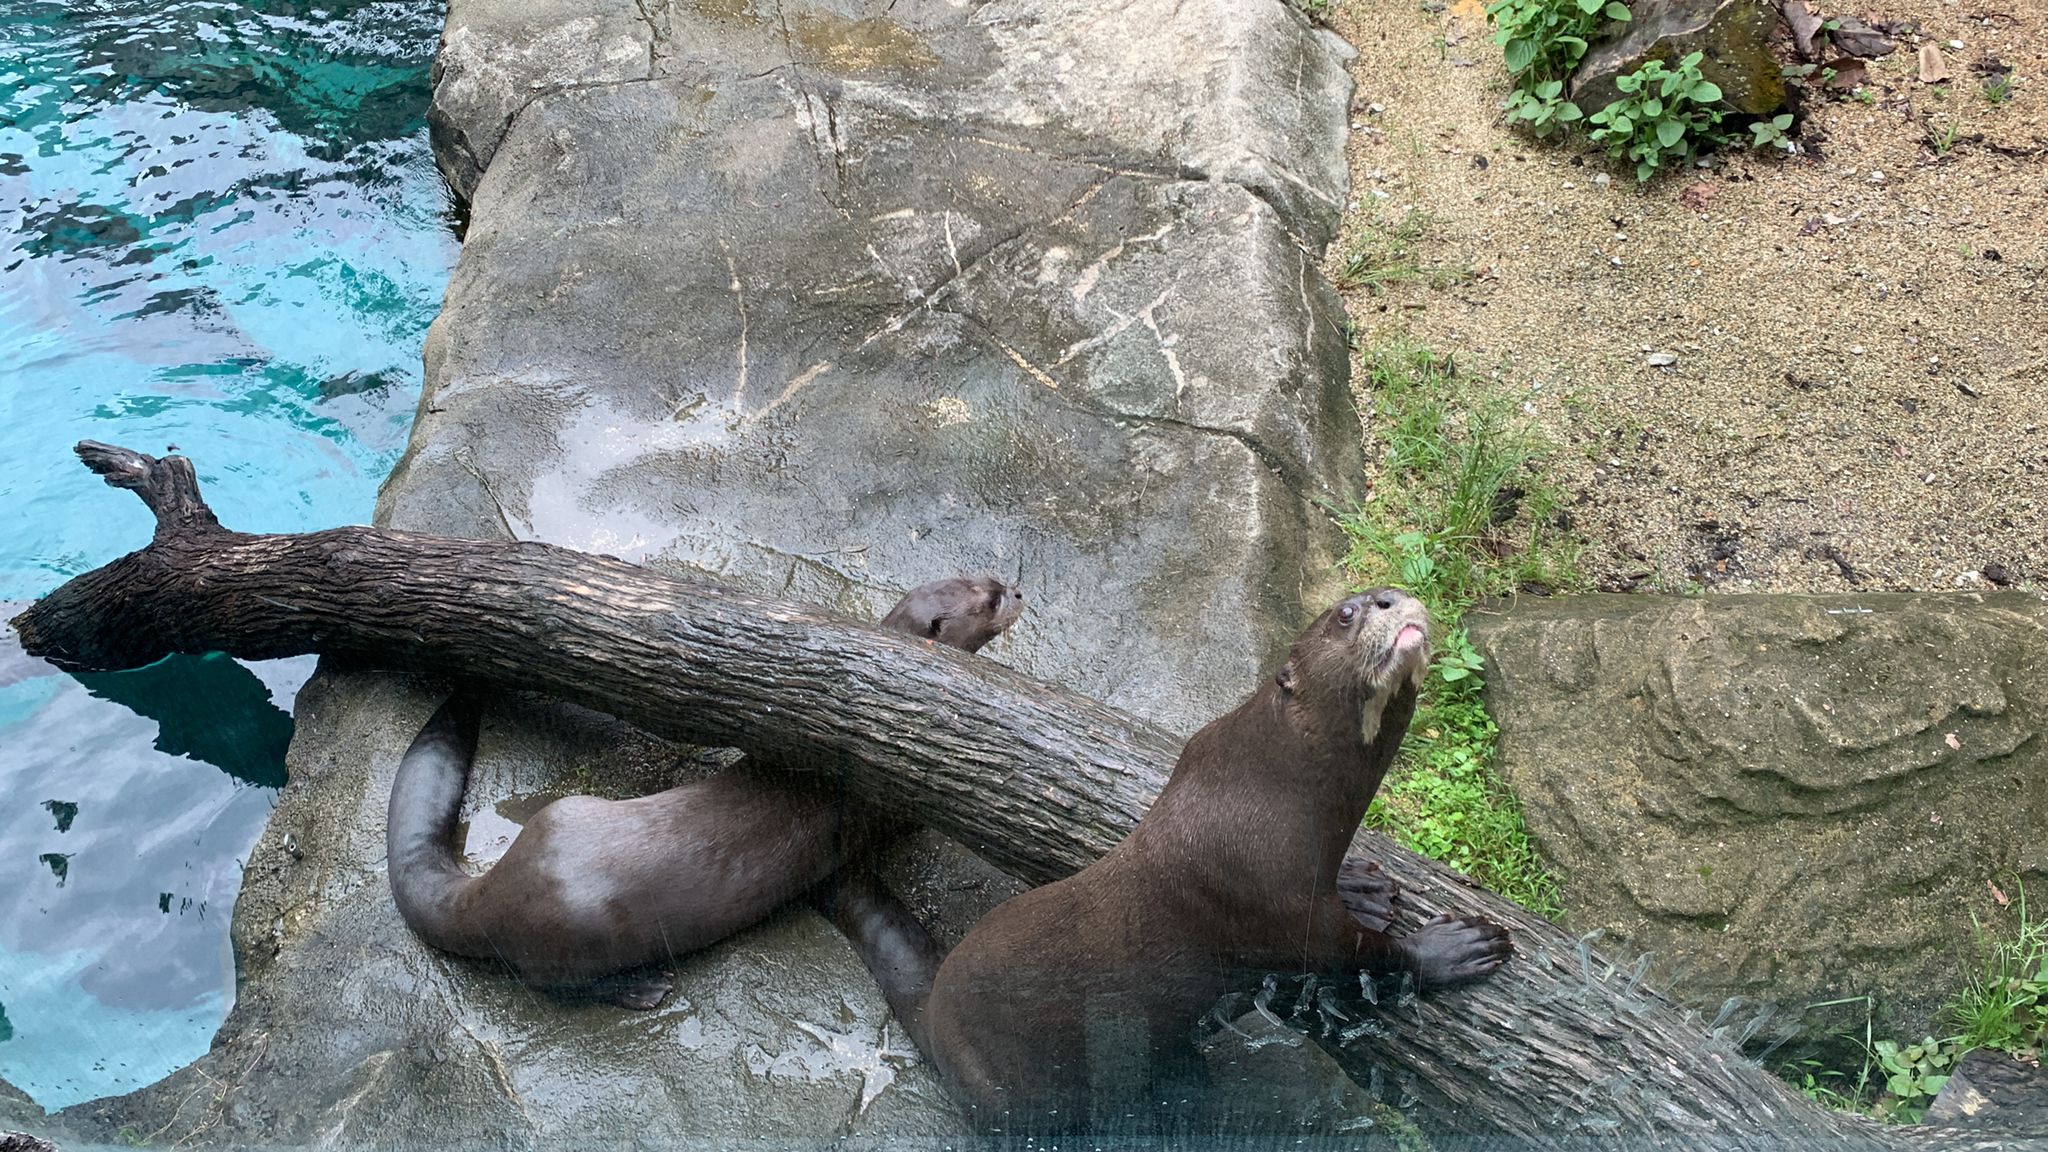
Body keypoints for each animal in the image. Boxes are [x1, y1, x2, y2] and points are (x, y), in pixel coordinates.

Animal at [385, 576, 1023, 1008]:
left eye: (987, 576)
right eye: (989, 600)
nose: (1019, 592)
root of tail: (487, 896)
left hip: (565, 813)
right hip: (575, 936)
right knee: (555, 986)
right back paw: (642, 988)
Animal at [830, 588, 1512, 1133]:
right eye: (1346, 614)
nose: (1389, 598)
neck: (1268, 792)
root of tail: (937, 1021)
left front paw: (1362, 886)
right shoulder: (1271, 904)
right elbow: (1365, 959)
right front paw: (1456, 949)